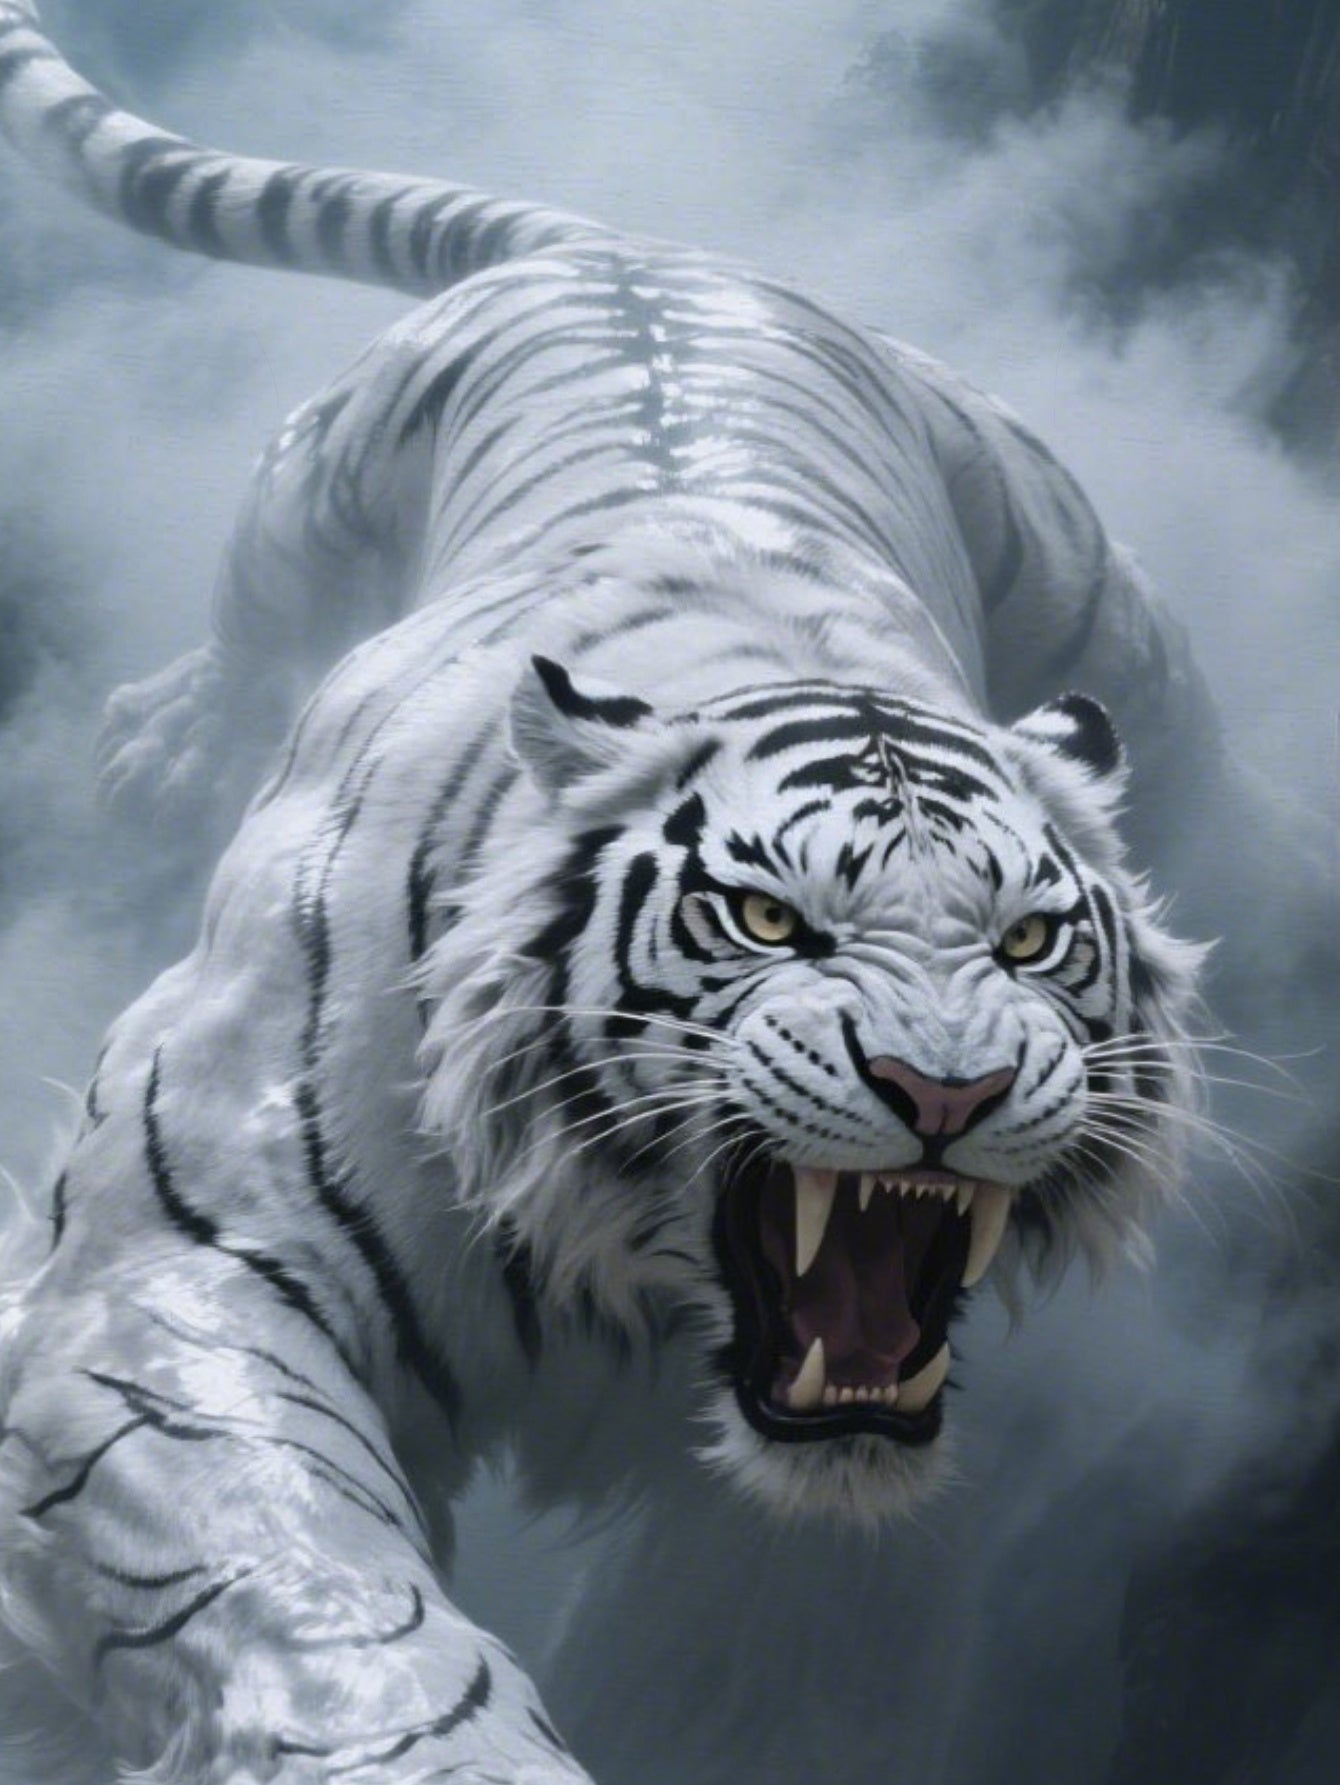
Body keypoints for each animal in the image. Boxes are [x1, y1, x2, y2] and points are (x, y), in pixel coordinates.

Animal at [0, 2, 1218, 1780]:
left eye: (1031, 939)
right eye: (771, 918)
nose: (949, 1091)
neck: (643, 1273)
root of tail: (651, 250)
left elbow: (746, 1637)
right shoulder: (171, 1279)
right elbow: (310, 1596)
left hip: (1065, 560)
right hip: (320, 480)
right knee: (249, 601)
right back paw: (159, 745)